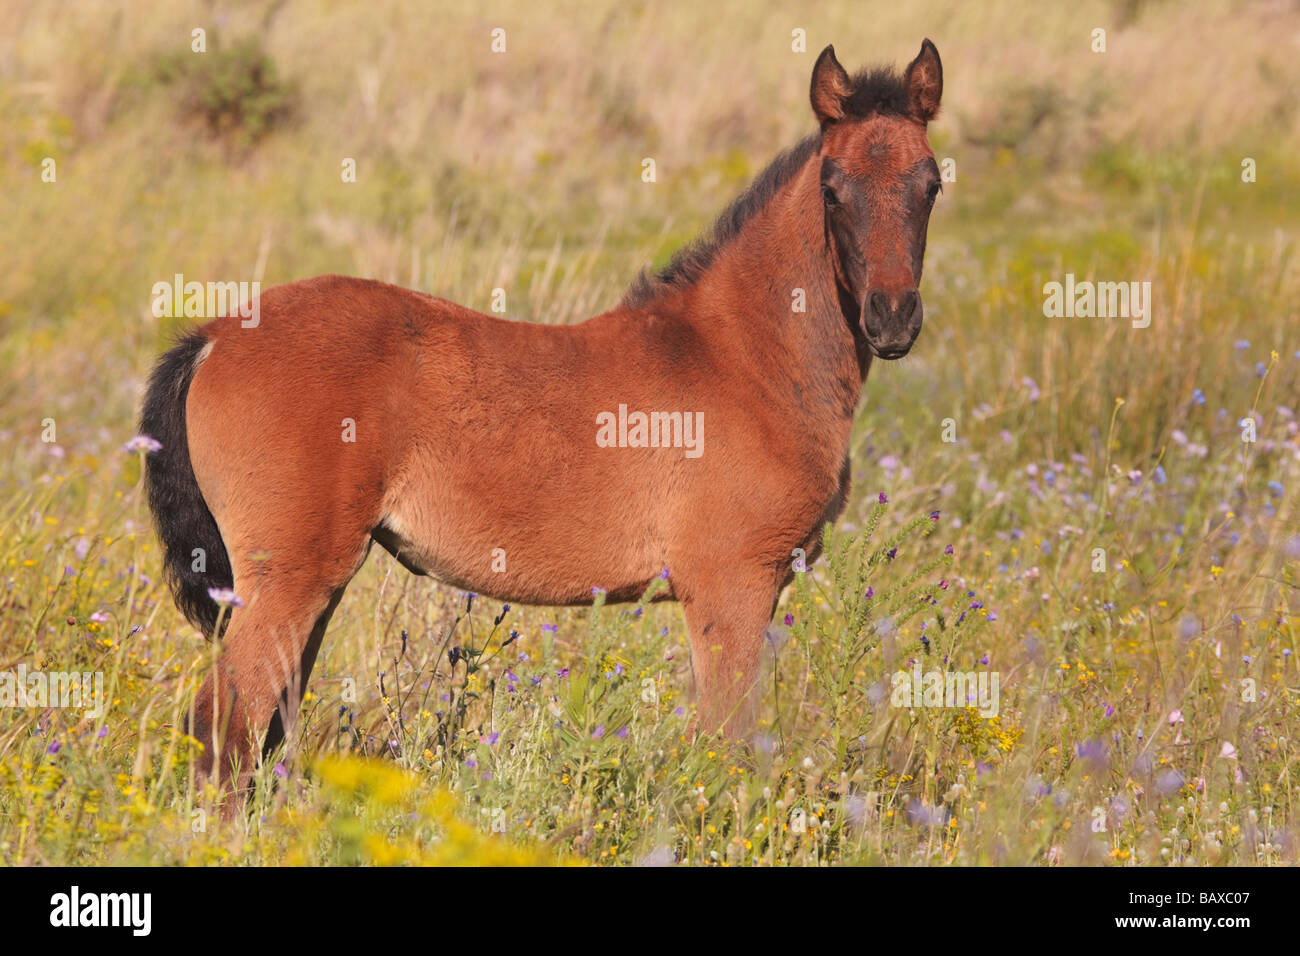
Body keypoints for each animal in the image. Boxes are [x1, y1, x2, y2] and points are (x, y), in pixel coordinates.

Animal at [139, 39, 946, 790]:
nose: (894, 319)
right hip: (287, 581)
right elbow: (728, 748)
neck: (740, 355)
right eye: (834, 189)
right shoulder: (731, 584)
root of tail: (213, 338)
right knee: (225, 729)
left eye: (932, 184)